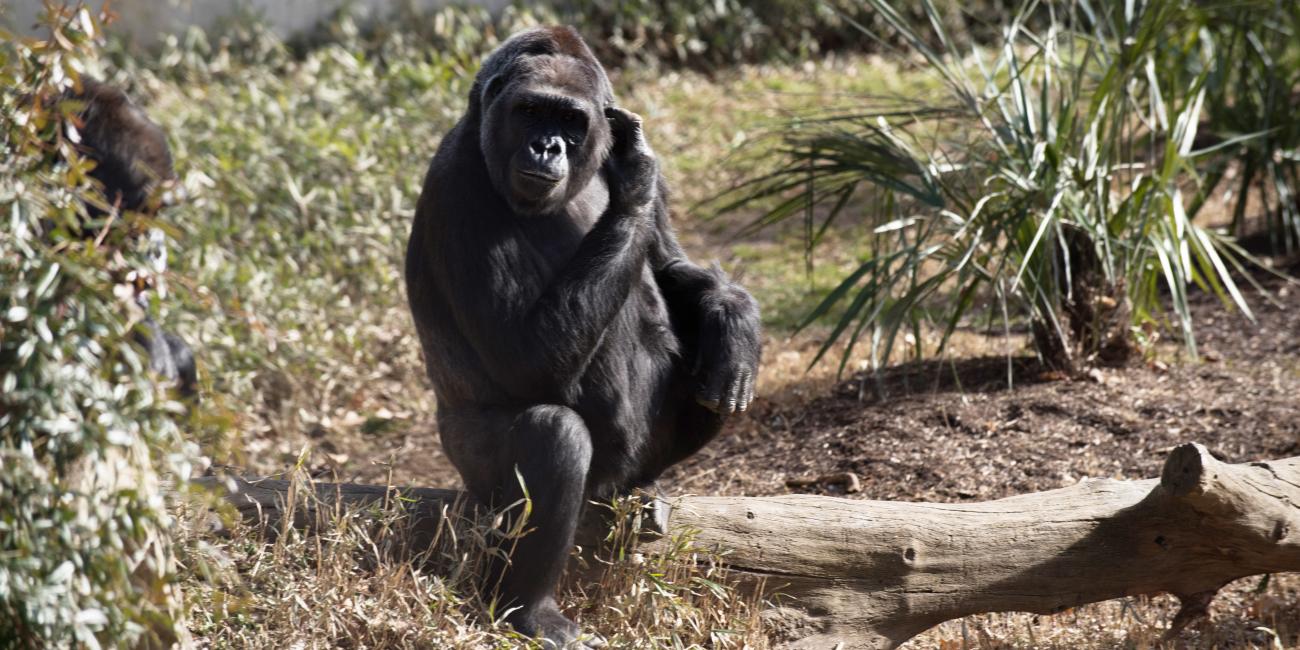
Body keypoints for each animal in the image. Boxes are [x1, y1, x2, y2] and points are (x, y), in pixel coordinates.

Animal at [405, 25, 759, 644]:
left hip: (632, 467)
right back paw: (529, 609)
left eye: (569, 120)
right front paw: (633, 183)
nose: (547, 147)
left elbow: (668, 264)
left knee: (703, 381)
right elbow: (527, 361)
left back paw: (643, 481)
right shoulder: (457, 185)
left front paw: (734, 316)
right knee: (555, 437)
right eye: (529, 111)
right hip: (469, 467)